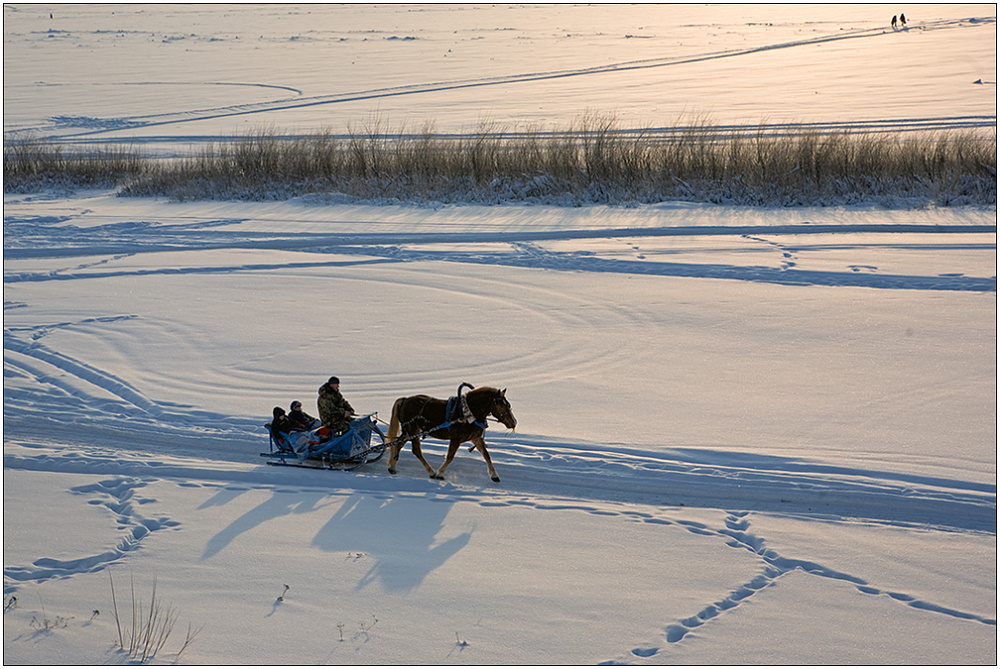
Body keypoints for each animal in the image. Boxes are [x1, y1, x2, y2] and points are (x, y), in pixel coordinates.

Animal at [386, 384, 520, 482]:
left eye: (508, 404)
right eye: (501, 405)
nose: (513, 422)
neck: (468, 414)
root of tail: (405, 400)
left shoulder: (476, 438)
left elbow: (486, 455)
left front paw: (494, 475)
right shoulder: (456, 439)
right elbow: (450, 457)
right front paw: (440, 473)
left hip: (409, 432)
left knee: (397, 444)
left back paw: (392, 467)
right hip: (412, 430)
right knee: (416, 450)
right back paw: (431, 472)